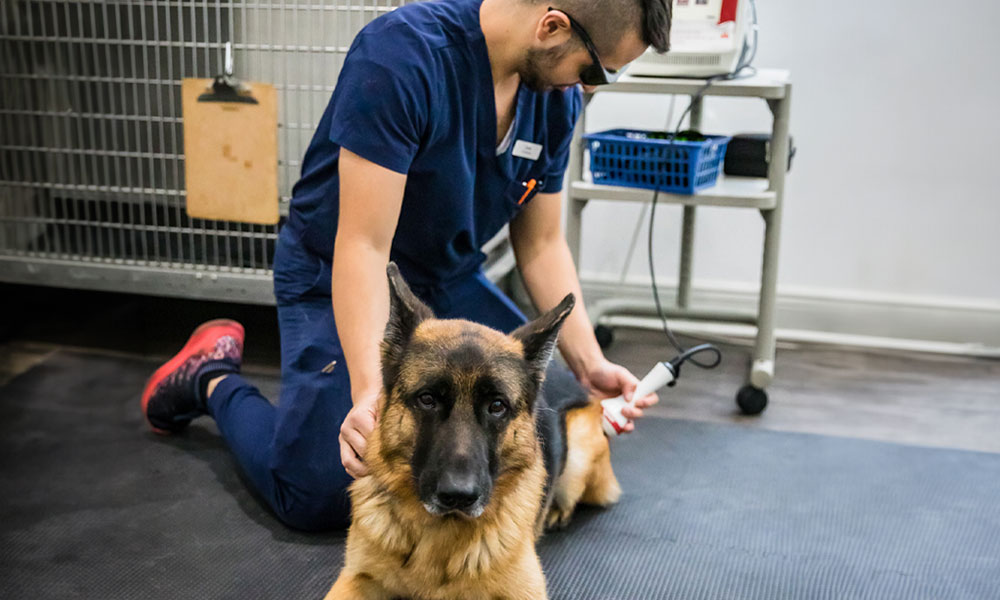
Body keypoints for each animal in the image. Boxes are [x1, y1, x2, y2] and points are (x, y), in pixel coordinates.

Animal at [328, 268, 620, 600]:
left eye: (497, 406)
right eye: (427, 399)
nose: (459, 495)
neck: (438, 530)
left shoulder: (525, 592)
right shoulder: (356, 578)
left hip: (579, 449)